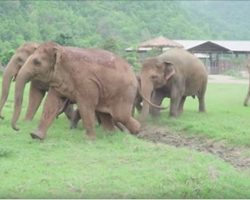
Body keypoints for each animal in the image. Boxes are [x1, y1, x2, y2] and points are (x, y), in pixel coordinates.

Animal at [11, 41, 142, 140]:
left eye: (37, 62)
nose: (18, 128)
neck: (63, 50)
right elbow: (51, 102)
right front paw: (36, 135)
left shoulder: (86, 83)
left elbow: (85, 105)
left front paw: (88, 139)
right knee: (105, 114)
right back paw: (111, 134)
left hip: (125, 92)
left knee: (121, 115)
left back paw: (138, 133)